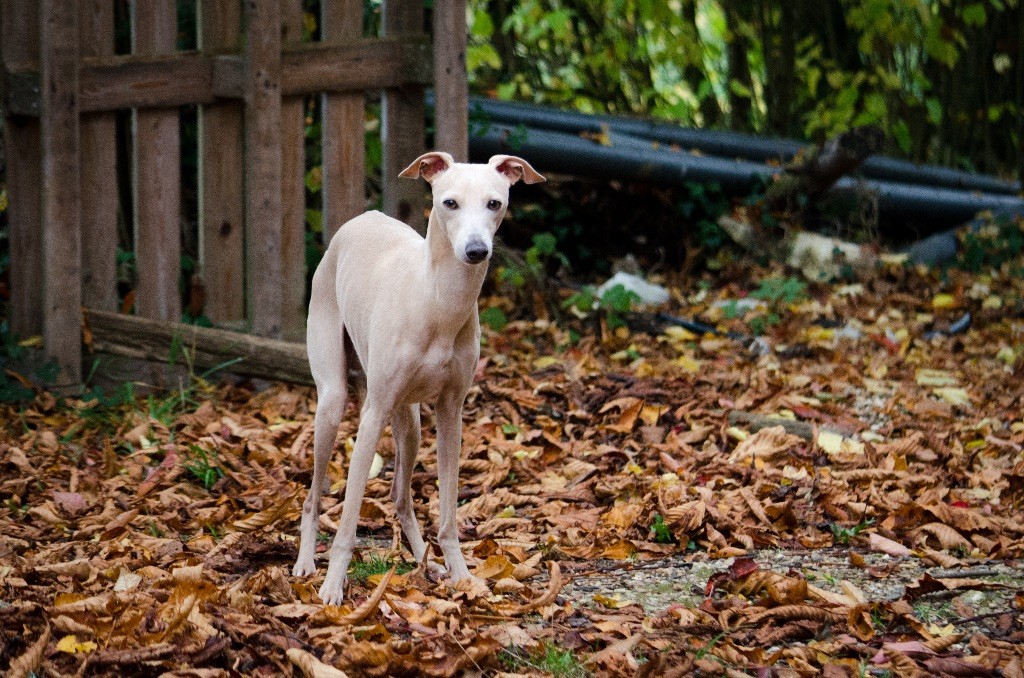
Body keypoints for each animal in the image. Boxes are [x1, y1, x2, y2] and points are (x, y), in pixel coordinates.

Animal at [290, 150, 544, 606]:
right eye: (449, 203)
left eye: (495, 203)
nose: (476, 250)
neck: (437, 301)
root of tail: (363, 217)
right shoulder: (372, 414)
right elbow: (348, 519)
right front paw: (333, 586)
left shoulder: (451, 412)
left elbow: (447, 513)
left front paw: (461, 575)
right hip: (334, 403)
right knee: (313, 495)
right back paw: (305, 563)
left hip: (410, 423)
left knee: (400, 496)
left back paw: (427, 561)